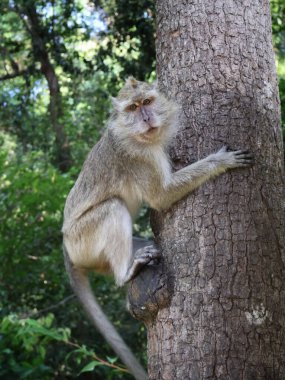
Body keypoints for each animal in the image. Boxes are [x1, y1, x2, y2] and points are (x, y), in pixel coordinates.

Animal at [62, 75, 253, 378]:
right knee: (113, 207)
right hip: (82, 240)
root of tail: (66, 248)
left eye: (147, 101)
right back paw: (125, 273)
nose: (146, 117)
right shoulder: (137, 156)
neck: (134, 135)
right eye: (132, 107)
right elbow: (161, 196)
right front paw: (219, 161)